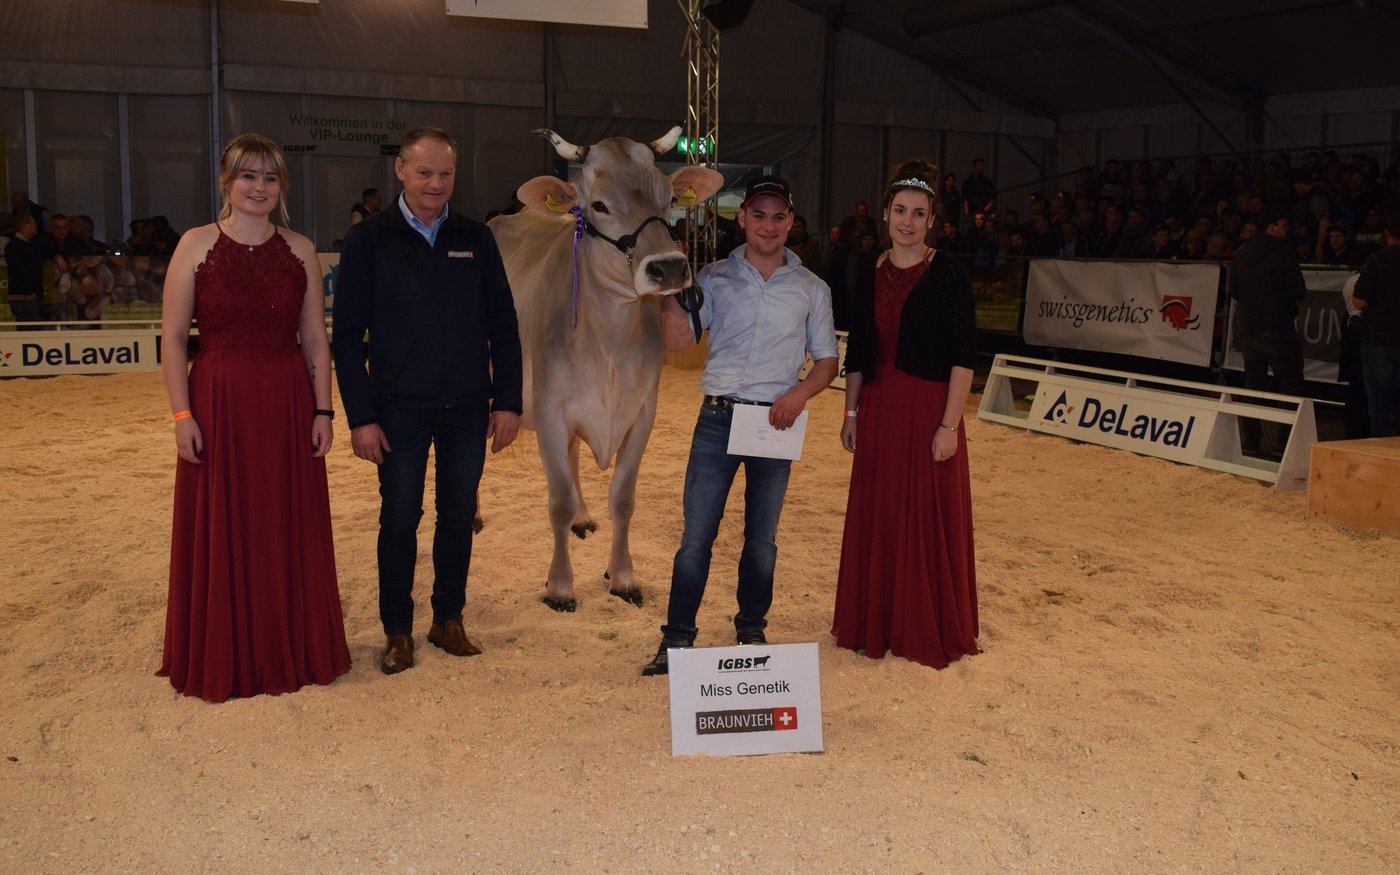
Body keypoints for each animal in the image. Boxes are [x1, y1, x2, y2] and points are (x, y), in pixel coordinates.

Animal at [488, 127, 723, 612]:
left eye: (669, 197)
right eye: (598, 205)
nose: (670, 267)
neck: (610, 344)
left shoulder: (642, 412)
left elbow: (623, 498)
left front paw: (623, 576)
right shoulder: (550, 412)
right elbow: (557, 500)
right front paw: (560, 586)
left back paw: (583, 517)